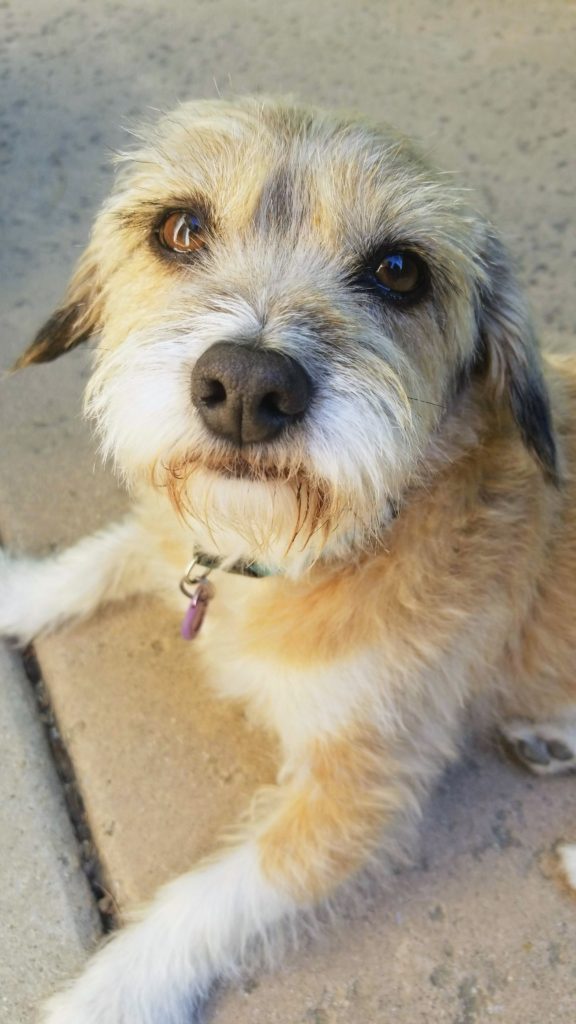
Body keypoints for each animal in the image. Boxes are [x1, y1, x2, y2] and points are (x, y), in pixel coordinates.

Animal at [1, 94, 573, 1015]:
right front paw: (14, 589)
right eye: (181, 228)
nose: (246, 386)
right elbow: (101, 555)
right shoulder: (186, 536)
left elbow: (203, 903)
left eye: (400, 269)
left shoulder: (357, 795)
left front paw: (102, 997)